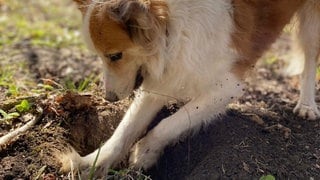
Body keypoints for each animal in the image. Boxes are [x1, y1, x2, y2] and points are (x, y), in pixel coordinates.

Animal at [60, 0, 320, 177]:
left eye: (115, 56)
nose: (110, 98)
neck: (172, 25)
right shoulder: (166, 75)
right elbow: (127, 127)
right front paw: (93, 161)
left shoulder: (226, 87)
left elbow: (170, 123)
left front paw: (145, 151)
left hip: (313, 24)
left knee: (309, 59)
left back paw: (307, 105)